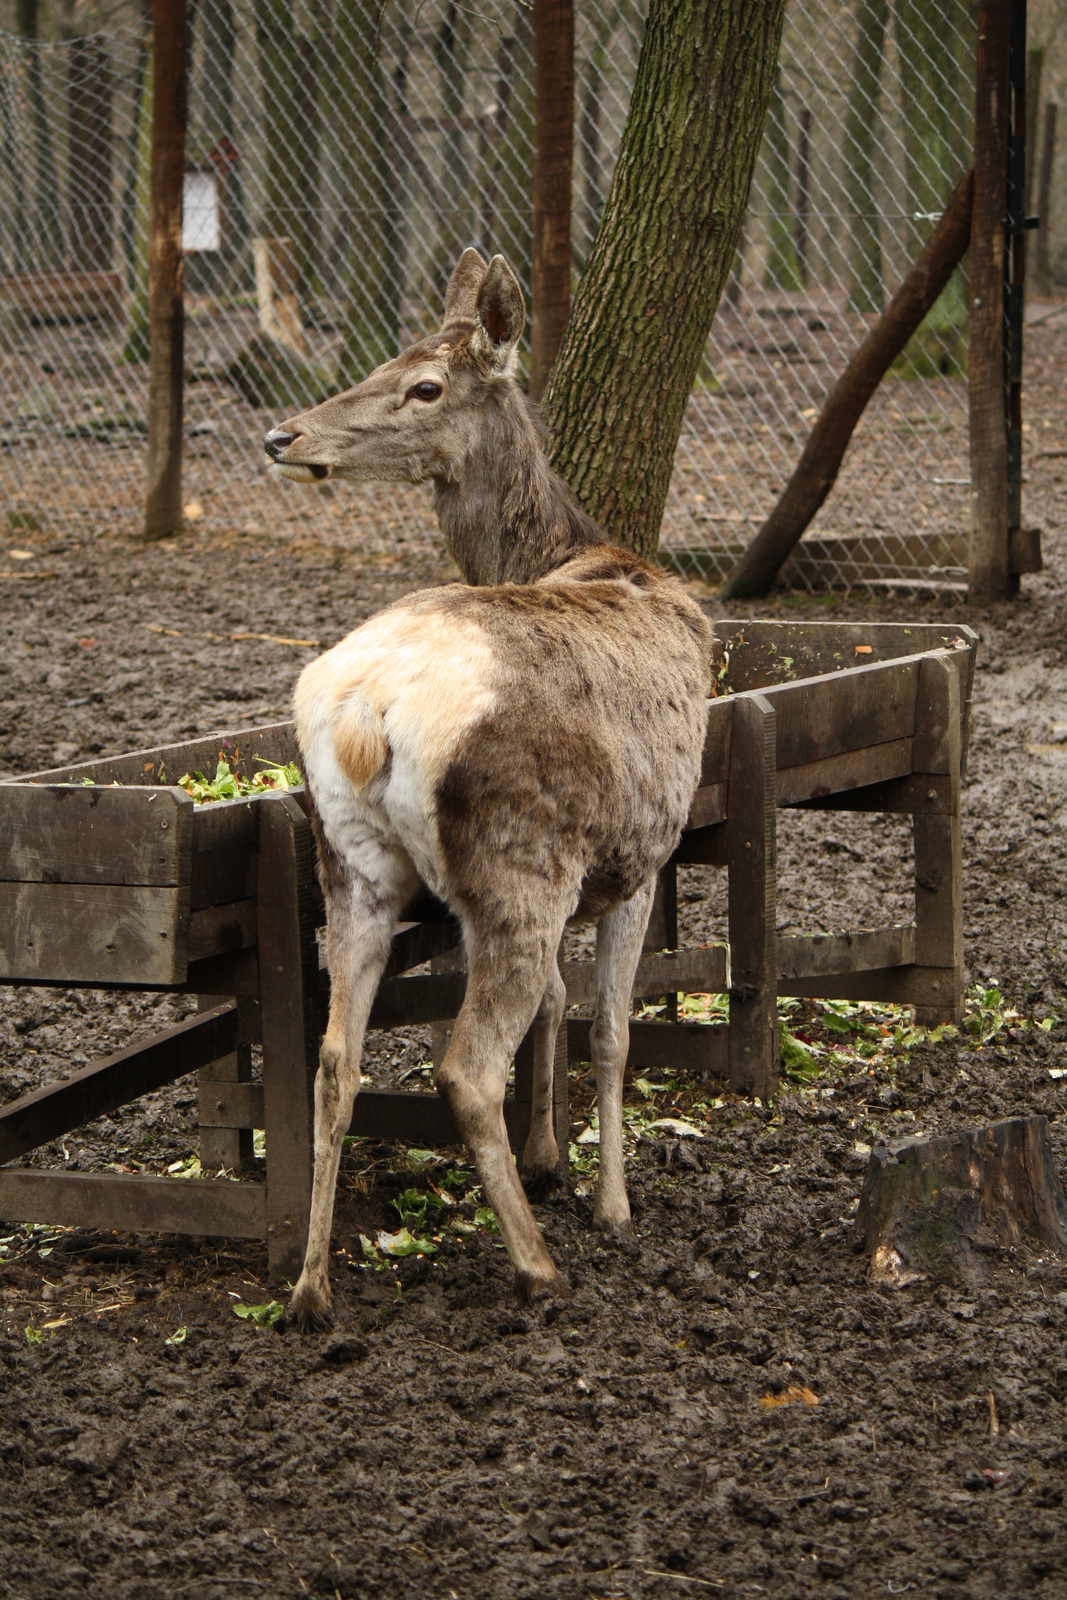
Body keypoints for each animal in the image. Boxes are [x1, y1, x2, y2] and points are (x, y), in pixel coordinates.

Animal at [262, 246, 713, 1324]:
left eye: (421, 382)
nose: (281, 434)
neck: (584, 551)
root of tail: (365, 713)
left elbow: (557, 1001)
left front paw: (550, 1157)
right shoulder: (642, 855)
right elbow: (610, 1030)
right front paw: (610, 1202)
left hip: (351, 861)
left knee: (335, 1057)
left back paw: (311, 1288)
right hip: (517, 860)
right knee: (463, 1068)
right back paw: (537, 1265)